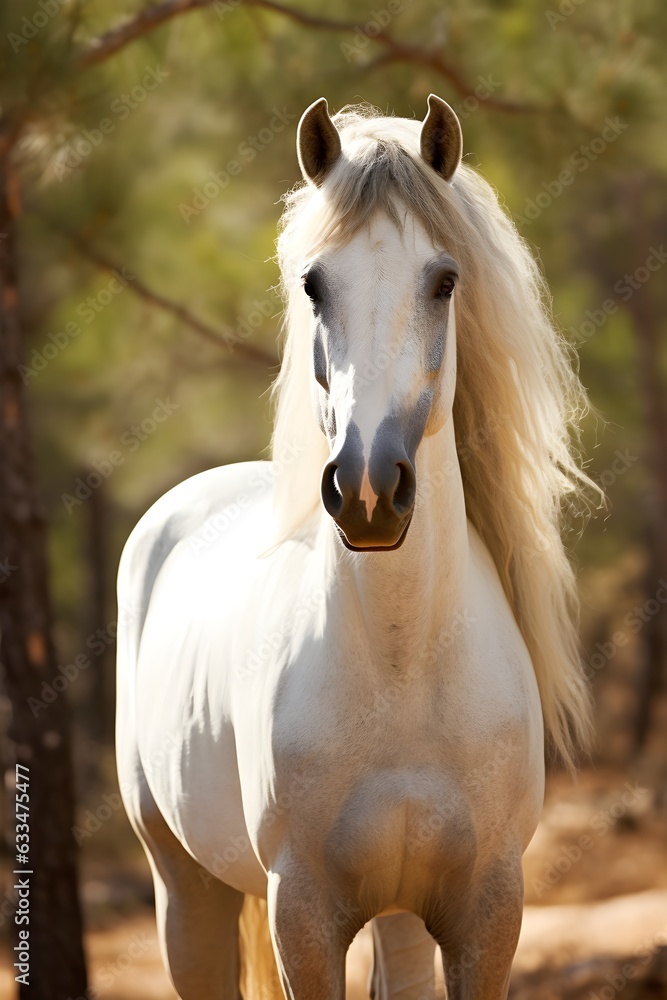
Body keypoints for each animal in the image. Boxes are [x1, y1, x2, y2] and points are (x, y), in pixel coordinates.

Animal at [116, 95, 596, 999]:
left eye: (443, 280)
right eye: (314, 283)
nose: (369, 491)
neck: (402, 669)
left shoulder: (489, 912)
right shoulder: (301, 915)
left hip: (398, 918)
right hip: (183, 892)